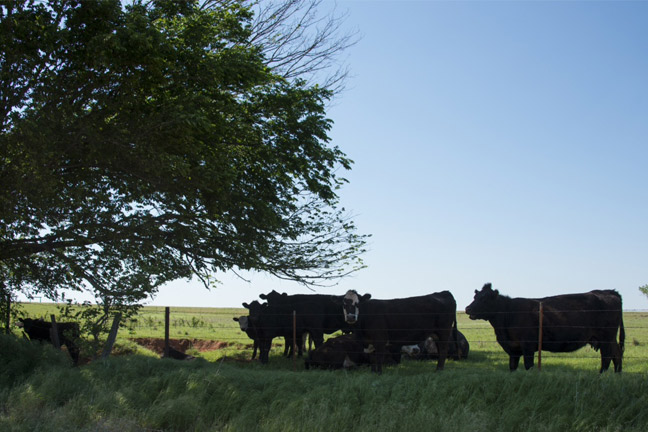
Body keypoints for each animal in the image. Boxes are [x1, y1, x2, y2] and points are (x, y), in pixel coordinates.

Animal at [464, 284, 624, 372]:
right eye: (475, 296)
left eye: (485, 299)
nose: (467, 308)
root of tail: (608, 291)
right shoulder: (513, 349)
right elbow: (512, 367)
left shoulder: (528, 346)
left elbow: (528, 365)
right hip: (608, 339)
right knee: (617, 354)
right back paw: (617, 375)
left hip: (606, 338)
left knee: (607, 357)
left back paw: (602, 375)